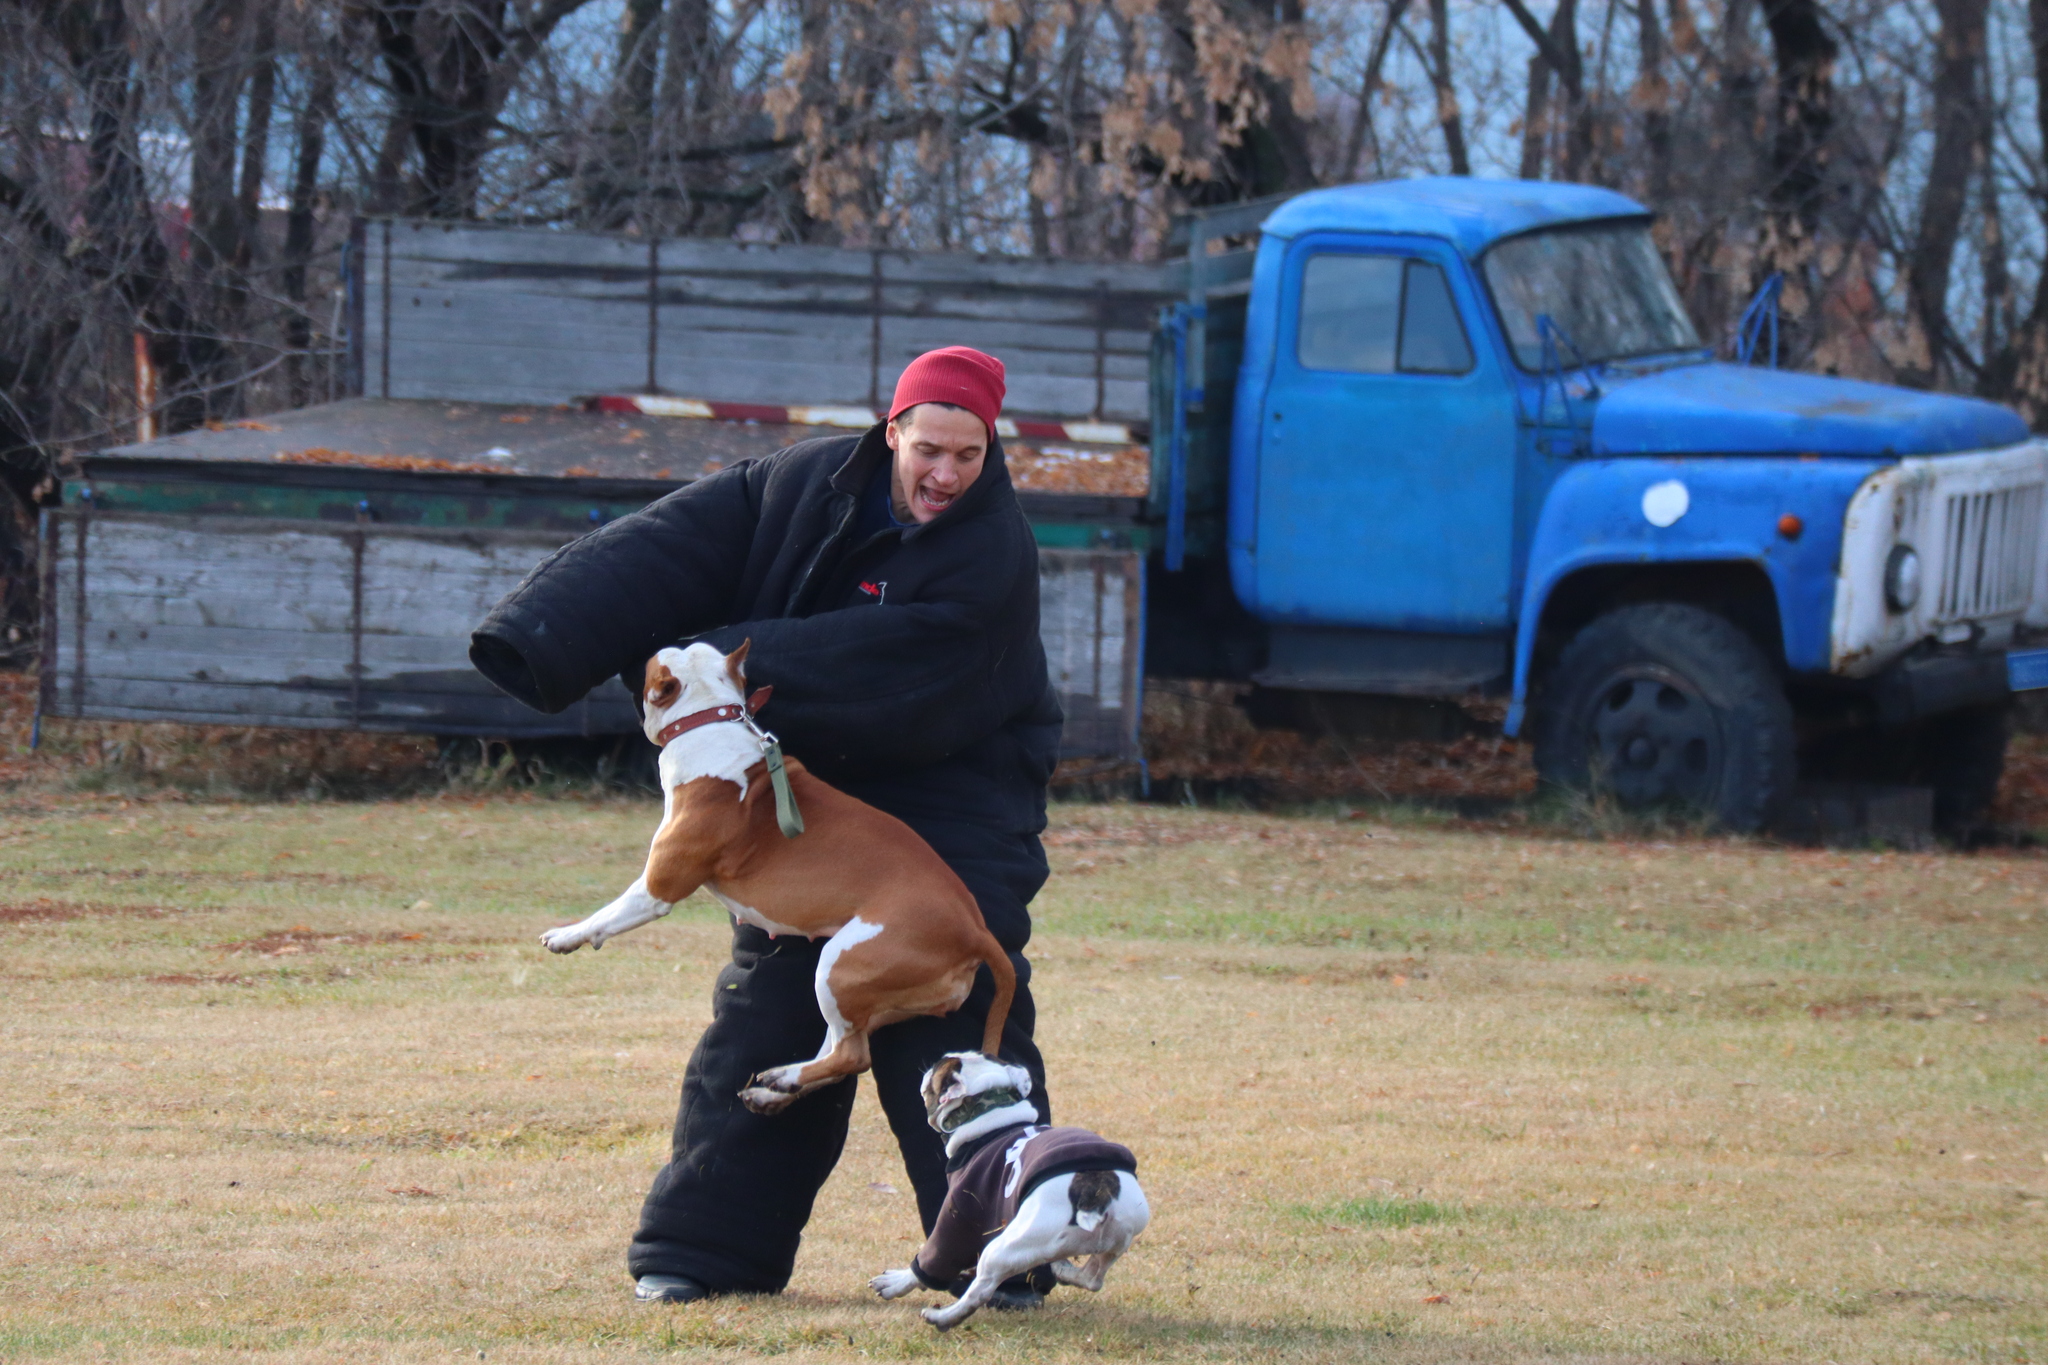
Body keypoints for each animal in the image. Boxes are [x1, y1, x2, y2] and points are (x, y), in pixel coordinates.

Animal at [536, 638, 1015, 1113]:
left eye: (652, 667)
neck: (708, 719)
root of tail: (976, 931)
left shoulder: (657, 887)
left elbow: (607, 915)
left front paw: (567, 934)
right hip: (860, 993)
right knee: (839, 1050)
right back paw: (777, 1087)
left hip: (840, 964)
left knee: (852, 1056)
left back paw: (784, 1078)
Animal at [868, 1055, 1155, 1334]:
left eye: (939, 1069)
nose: (928, 1068)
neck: (988, 1111)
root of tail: (1097, 1193)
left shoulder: (957, 1218)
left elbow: (931, 1261)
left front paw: (896, 1282)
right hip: (1116, 1240)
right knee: (1093, 1277)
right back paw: (1064, 1269)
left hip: (1005, 1246)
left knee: (979, 1291)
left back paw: (943, 1317)